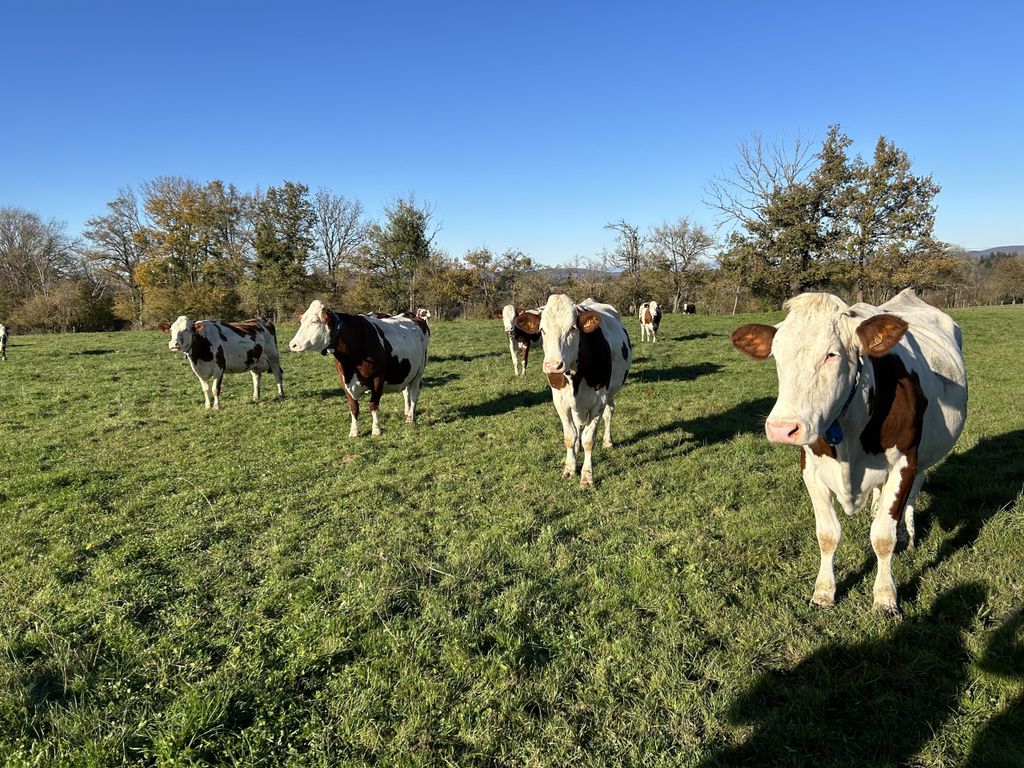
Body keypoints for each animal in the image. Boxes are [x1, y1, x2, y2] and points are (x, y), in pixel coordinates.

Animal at [289, 300, 429, 437]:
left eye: (315, 321)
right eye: (301, 321)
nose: (293, 344)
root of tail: (413, 316)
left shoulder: (378, 379)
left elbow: (373, 405)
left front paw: (376, 430)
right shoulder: (344, 381)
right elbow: (353, 407)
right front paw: (354, 431)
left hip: (419, 370)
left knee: (414, 393)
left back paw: (410, 417)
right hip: (406, 371)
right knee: (406, 391)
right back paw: (407, 411)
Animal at [515, 295, 631, 488]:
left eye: (572, 328)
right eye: (542, 330)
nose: (553, 365)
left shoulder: (598, 402)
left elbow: (589, 440)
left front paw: (587, 476)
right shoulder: (560, 402)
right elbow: (570, 436)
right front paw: (570, 468)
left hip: (611, 393)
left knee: (609, 413)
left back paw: (607, 441)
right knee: (578, 427)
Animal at [731, 289, 968, 613]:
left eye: (831, 355)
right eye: (777, 355)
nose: (782, 428)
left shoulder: (905, 460)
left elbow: (883, 536)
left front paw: (885, 596)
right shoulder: (811, 468)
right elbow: (827, 534)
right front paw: (823, 591)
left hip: (924, 454)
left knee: (913, 492)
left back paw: (906, 533)